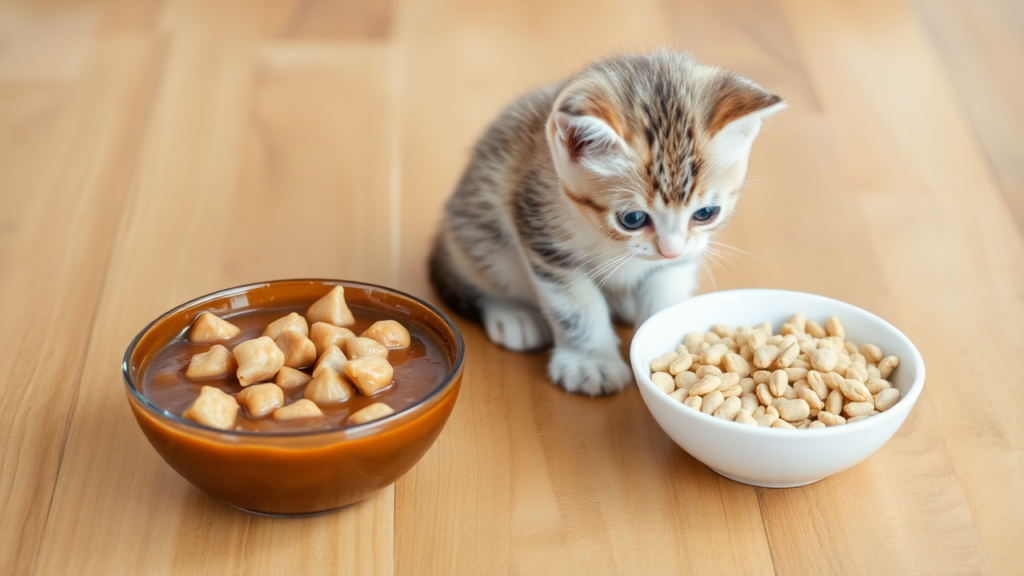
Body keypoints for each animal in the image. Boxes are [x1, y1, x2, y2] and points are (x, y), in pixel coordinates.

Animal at [428, 51, 778, 393]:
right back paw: (513, 313)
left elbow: (666, 285)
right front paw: (590, 362)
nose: (670, 250)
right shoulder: (541, 232)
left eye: (705, 214)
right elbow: (576, 306)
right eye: (633, 219)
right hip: (479, 227)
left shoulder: (682, 256)